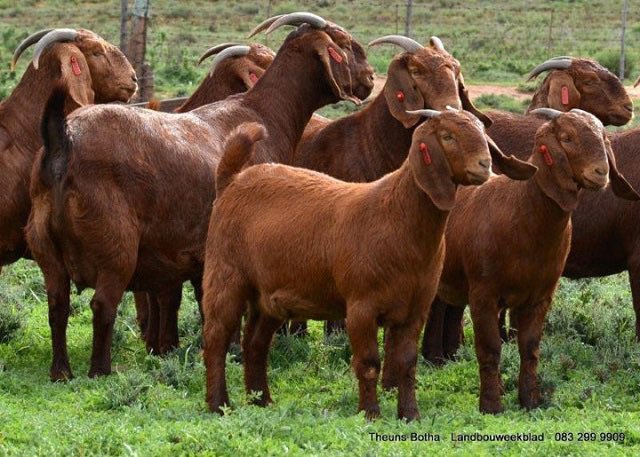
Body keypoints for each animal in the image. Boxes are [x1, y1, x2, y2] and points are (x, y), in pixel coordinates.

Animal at [26, 12, 374, 381]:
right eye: (345, 43)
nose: (369, 78)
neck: (263, 114)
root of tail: (63, 139)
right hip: (115, 247)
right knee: (103, 305)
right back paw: (100, 370)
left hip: (45, 249)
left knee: (57, 305)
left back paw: (61, 371)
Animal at [201, 109, 535, 421]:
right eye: (447, 136)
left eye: (482, 133)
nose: (484, 166)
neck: (396, 216)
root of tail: (232, 180)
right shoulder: (361, 306)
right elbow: (369, 362)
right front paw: (370, 413)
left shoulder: (415, 309)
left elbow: (406, 363)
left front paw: (409, 414)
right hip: (226, 276)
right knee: (216, 337)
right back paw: (219, 405)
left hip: (268, 296)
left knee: (255, 343)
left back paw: (261, 400)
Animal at [434, 108, 635, 413]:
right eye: (567, 138)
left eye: (603, 139)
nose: (601, 173)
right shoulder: (483, 295)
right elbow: (490, 348)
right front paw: (492, 405)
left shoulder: (539, 296)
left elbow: (529, 348)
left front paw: (530, 400)